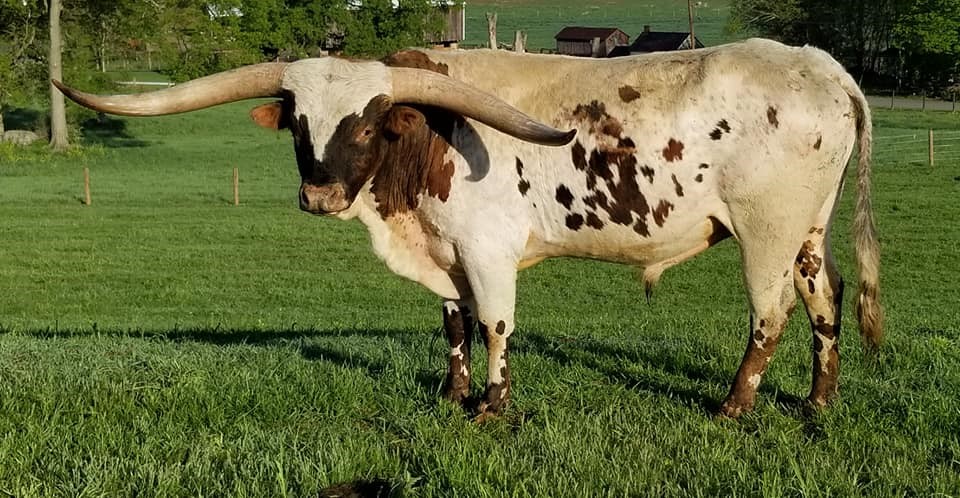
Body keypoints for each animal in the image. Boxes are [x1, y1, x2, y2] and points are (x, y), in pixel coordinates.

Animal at [55, 38, 883, 419]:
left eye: (369, 126)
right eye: (298, 122)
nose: (320, 195)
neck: (431, 139)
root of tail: (824, 68)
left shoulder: (487, 252)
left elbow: (493, 325)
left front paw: (492, 404)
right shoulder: (445, 251)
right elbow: (451, 322)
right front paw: (451, 392)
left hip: (766, 233)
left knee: (771, 314)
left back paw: (734, 407)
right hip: (808, 234)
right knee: (825, 301)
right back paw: (818, 402)